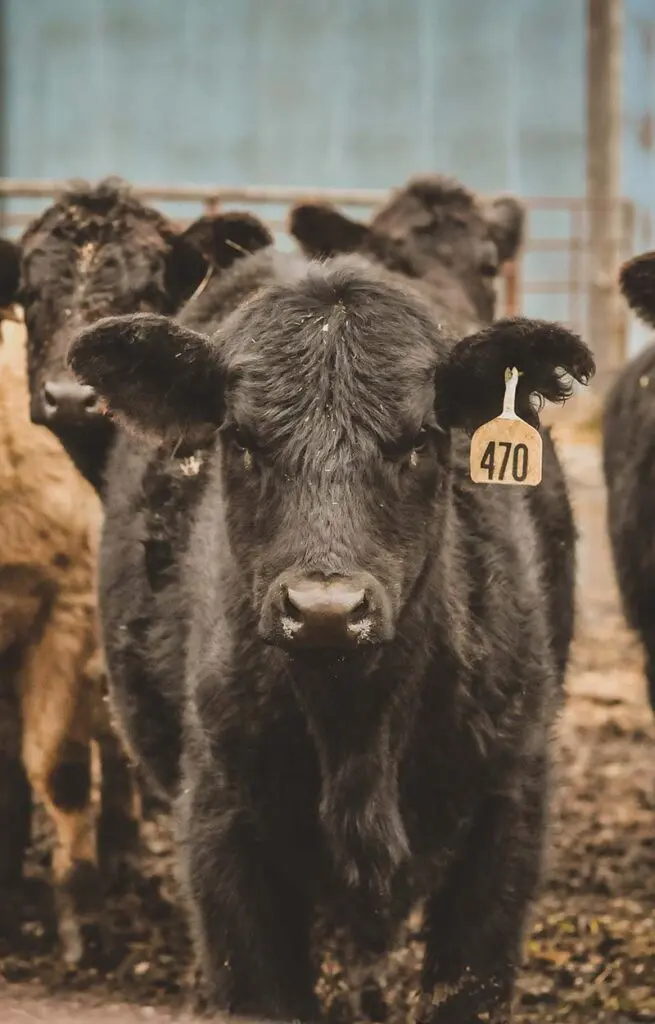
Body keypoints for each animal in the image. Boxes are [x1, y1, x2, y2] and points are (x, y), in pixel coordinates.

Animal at [68, 252, 594, 1022]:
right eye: (242, 440)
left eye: (418, 440)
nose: (324, 607)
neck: (358, 729)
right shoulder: (221, 821)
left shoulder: (509, 806)